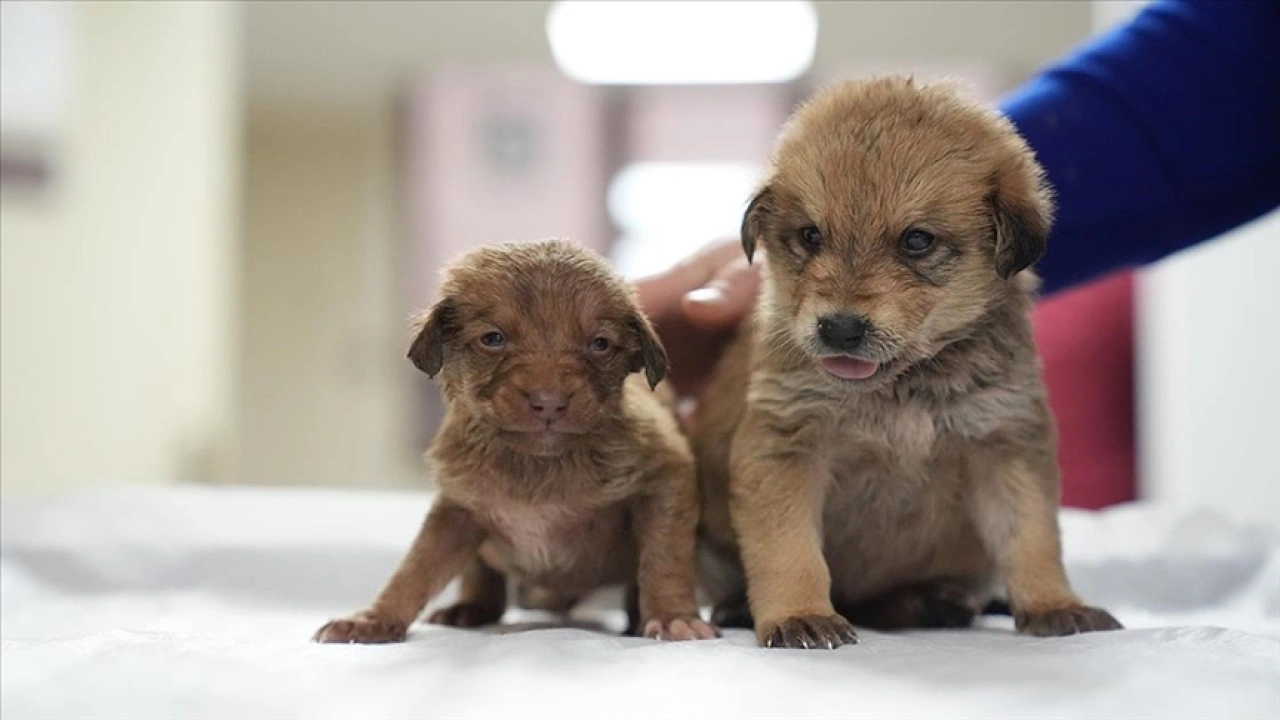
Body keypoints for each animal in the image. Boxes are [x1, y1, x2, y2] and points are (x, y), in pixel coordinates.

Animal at [317, 238, 721, 640]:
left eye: (600, 344)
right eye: (493, 339)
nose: (549, 401)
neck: (537, 461)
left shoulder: (665, 476)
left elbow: (664, 557)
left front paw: (672, 615)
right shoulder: (457, 506)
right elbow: (418, 566)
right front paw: (375, 617)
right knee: (482, 575)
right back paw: (470, 608)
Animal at [691, 75, 1121, 648]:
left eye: (917, 240)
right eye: (810, 235)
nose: (839, 328)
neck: (903, 389)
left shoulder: (1006, 445)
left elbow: (1031, 538)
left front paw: (1055, 605)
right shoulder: (787, 445)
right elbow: (789, 549)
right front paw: (798, 615)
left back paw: (930, 603)